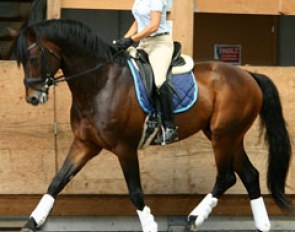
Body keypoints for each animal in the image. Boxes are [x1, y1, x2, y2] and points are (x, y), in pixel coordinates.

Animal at [15, 19, 292, 232]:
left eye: (32, 57)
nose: (33, 98)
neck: (101, 83)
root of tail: (248, 75)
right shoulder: (85, 144)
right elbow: (57, 180)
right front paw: (33, 220)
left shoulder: (125, 148)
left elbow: (135, 192)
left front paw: (149, 225)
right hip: (227, 135)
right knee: (250, 175)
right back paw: (262, 225)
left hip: (223, 135)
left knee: (226, 176)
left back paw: (194, 218)